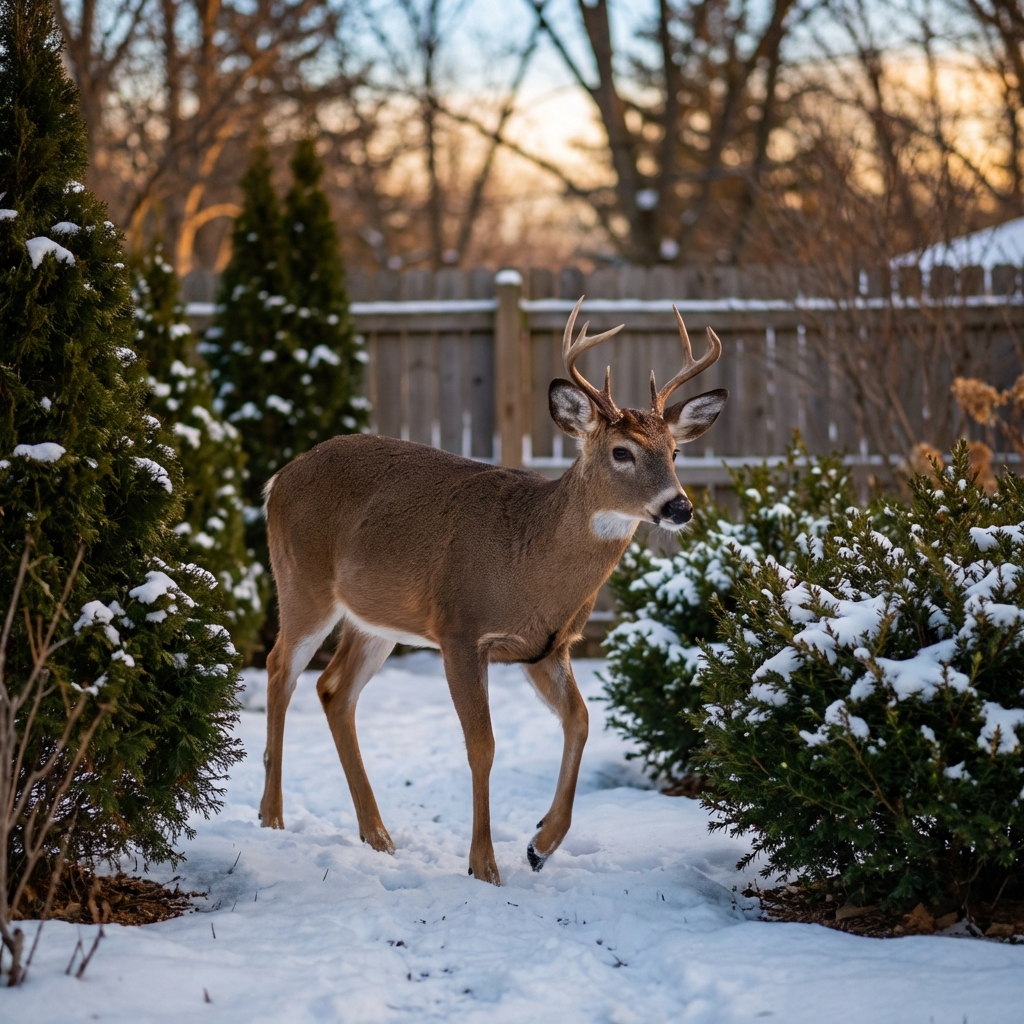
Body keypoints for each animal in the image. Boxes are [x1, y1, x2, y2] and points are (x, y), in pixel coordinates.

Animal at [259, 297, 727, 884]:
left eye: (674, 451)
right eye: (622, 452)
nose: (679, 506)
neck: (529, 564)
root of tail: (277, 480)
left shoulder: (548, 647)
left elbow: (580, 721)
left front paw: (540, 844)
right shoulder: (461, 630)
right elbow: (482, 744)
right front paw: (484, 865)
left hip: (376, 619)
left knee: (333, 689)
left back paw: (378, 836)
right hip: (302, 581)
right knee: (280, 668)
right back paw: (272, 818)